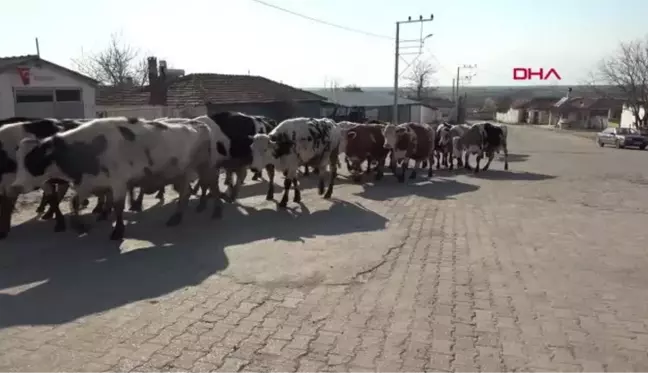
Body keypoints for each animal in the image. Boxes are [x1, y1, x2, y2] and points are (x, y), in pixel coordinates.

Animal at [10, 116, 213, 238]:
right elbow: (74, 203)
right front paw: (79, 225)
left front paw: (118, 231)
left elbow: (117, 207)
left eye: (33, 161)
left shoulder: (118, 182)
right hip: (180, 174)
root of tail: (196, 123)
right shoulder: (86, 183)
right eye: (17, 161)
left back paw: (178, 217)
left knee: (189, 192)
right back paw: (178, 216)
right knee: (186, 192)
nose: (16, 186)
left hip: (195, 170)